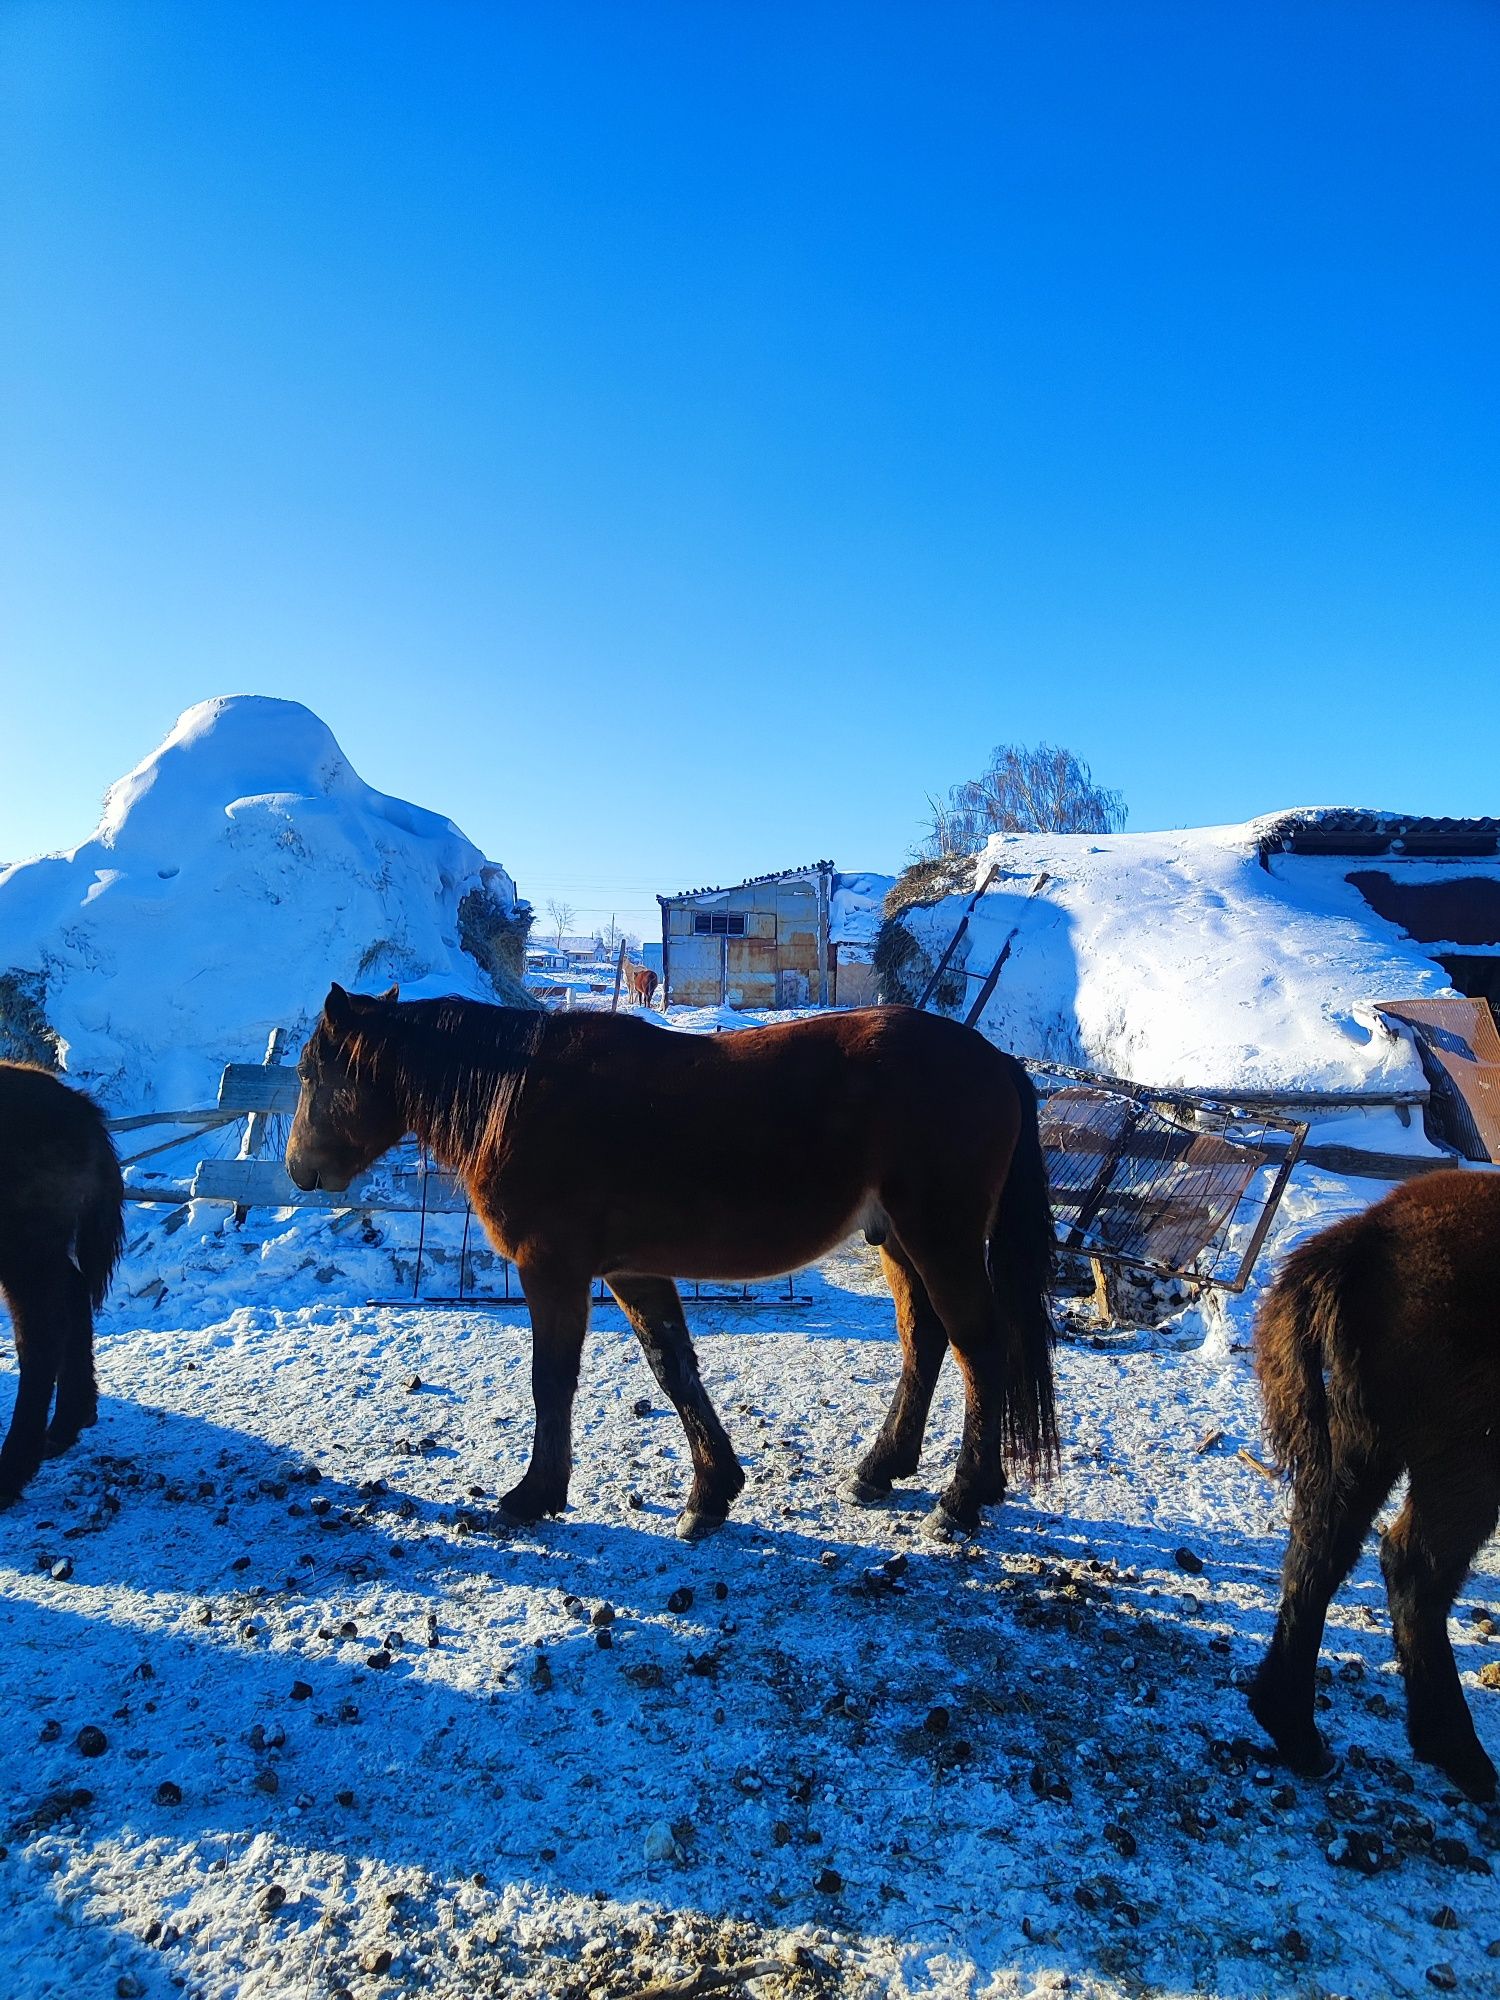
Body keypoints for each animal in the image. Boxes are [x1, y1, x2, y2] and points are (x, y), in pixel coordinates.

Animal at [0, 1064, 125, 1504]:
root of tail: (78, 1107)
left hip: (24, 1256)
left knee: (41, 1337)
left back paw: (12, 1471)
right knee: (72, 1296)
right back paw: (67, 1425)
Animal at [288, 980, 1064, 1528]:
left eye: (308, 1074)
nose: (299, 1170)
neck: (520, 1097)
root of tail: (995, 1060)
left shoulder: (553, 1271)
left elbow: (551, 1381)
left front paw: (534, 1495)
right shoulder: (634, 1271)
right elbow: (674, 1370)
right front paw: (712, 1492)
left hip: (941, 1238)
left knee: (978, 1346)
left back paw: (962, 1499)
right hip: (900, 1241)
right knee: (924, 1342)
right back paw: (880, 1469)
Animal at [1256, 1168, 1500, 1808]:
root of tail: (1369, 1233)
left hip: (1362, 1442)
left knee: (1320, 1549)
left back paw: (1298, 1736)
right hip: (1463, 1466)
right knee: (1412, 1568)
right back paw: (1461, 1754)